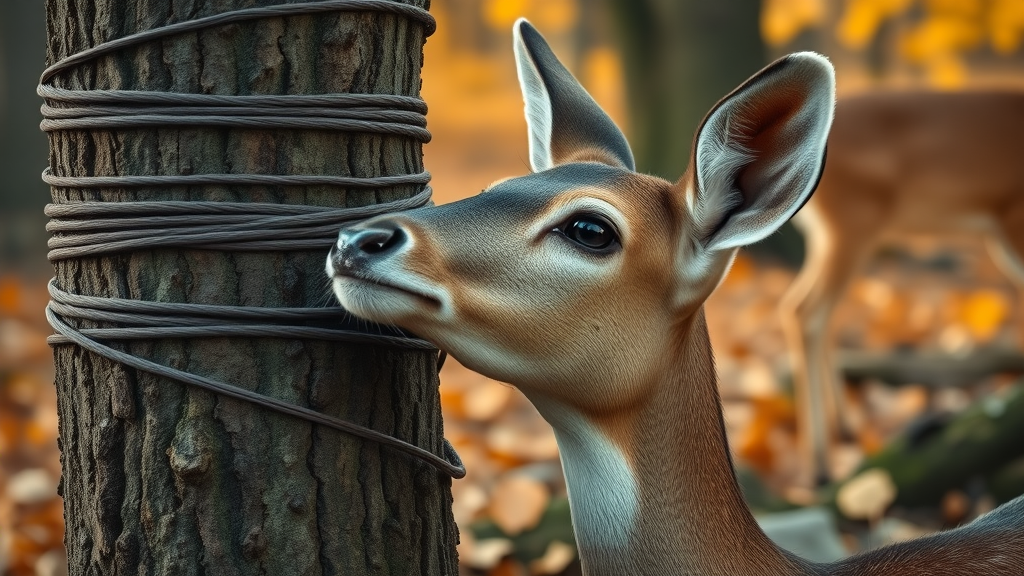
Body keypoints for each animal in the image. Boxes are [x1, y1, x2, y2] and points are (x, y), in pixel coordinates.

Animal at [781, 88, 1024, 484]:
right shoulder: (1014, 216)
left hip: (832, 235)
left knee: (816, 311)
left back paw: (845, 430)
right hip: (851, 224)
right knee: (804, 311)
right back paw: (819, 467)